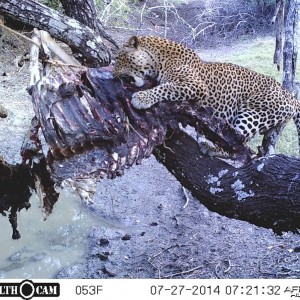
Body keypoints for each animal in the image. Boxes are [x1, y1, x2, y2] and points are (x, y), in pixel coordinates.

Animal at [113, 35, 300, 155]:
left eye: (119, 59)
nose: (114, 75)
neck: (159, 60)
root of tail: (290, 94)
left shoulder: (195, 85)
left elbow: (165, 88)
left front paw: (141, 98)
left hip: (253, 113)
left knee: (238, 145)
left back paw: (212, 148)